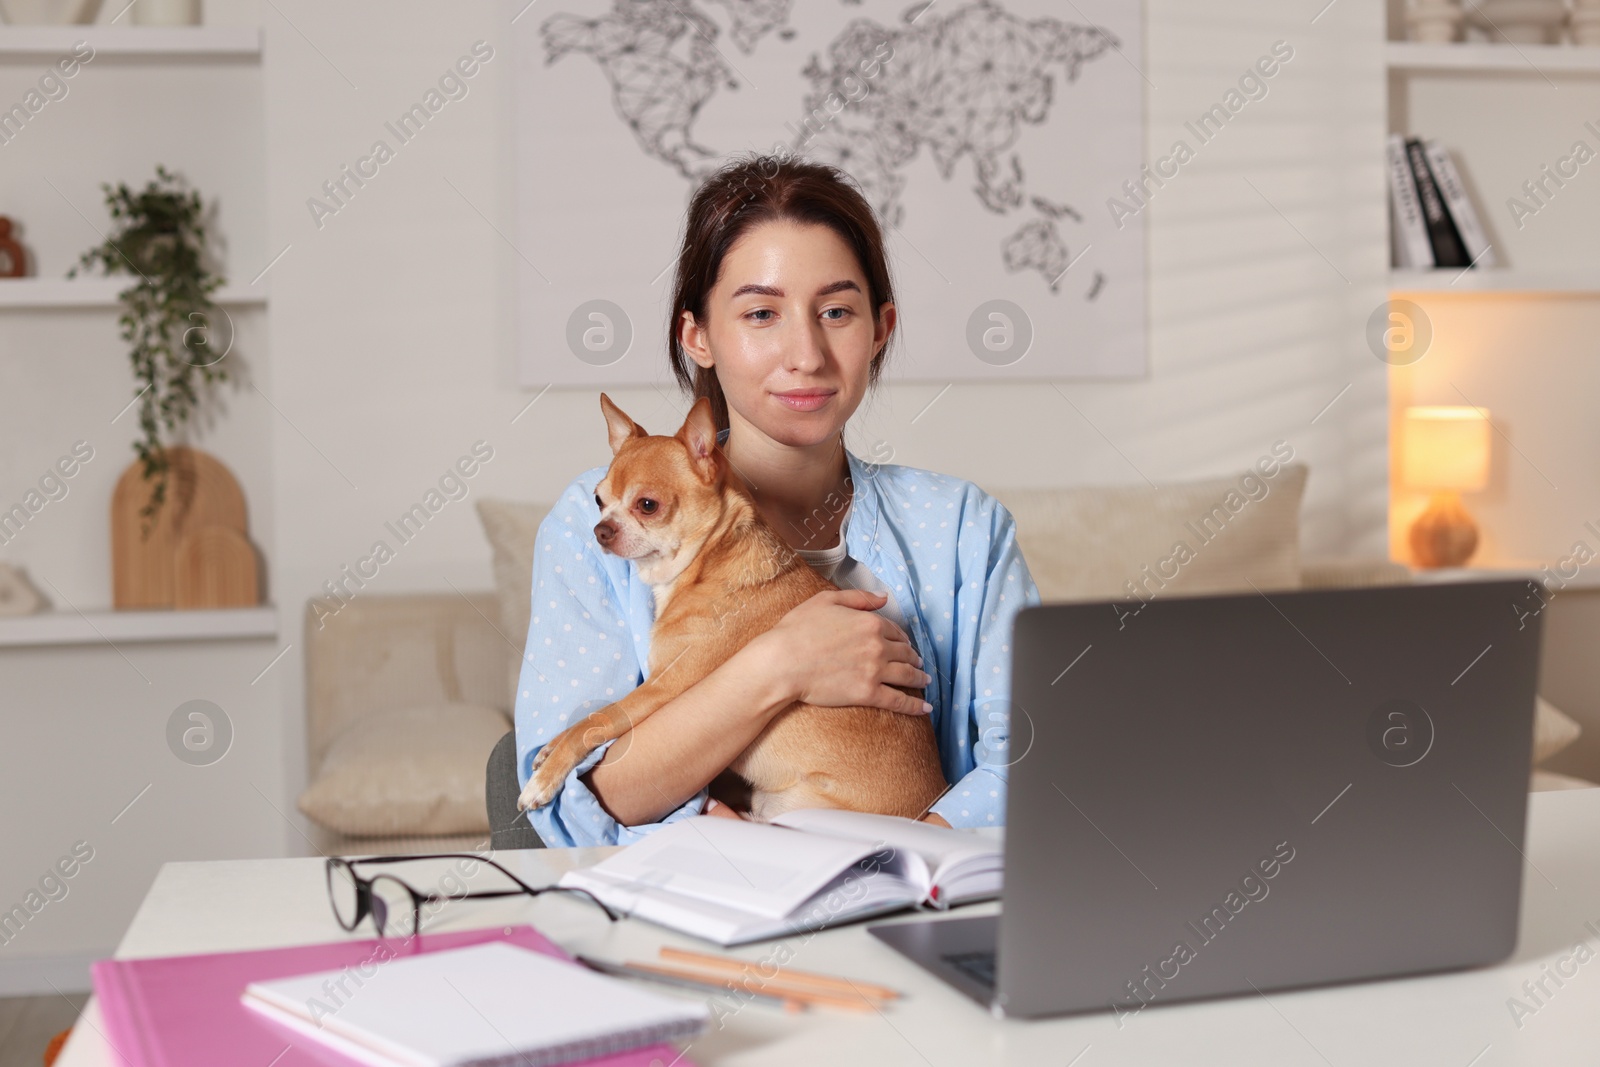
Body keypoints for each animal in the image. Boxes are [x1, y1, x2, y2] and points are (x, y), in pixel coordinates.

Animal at [521, 396, 947, 825]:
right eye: (598, 500)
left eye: (647, 505)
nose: (601, 530)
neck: (706, 564)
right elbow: (589, 717)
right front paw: (549, 749)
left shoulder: (663, 688)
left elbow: (599, 718)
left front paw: (544, 780)